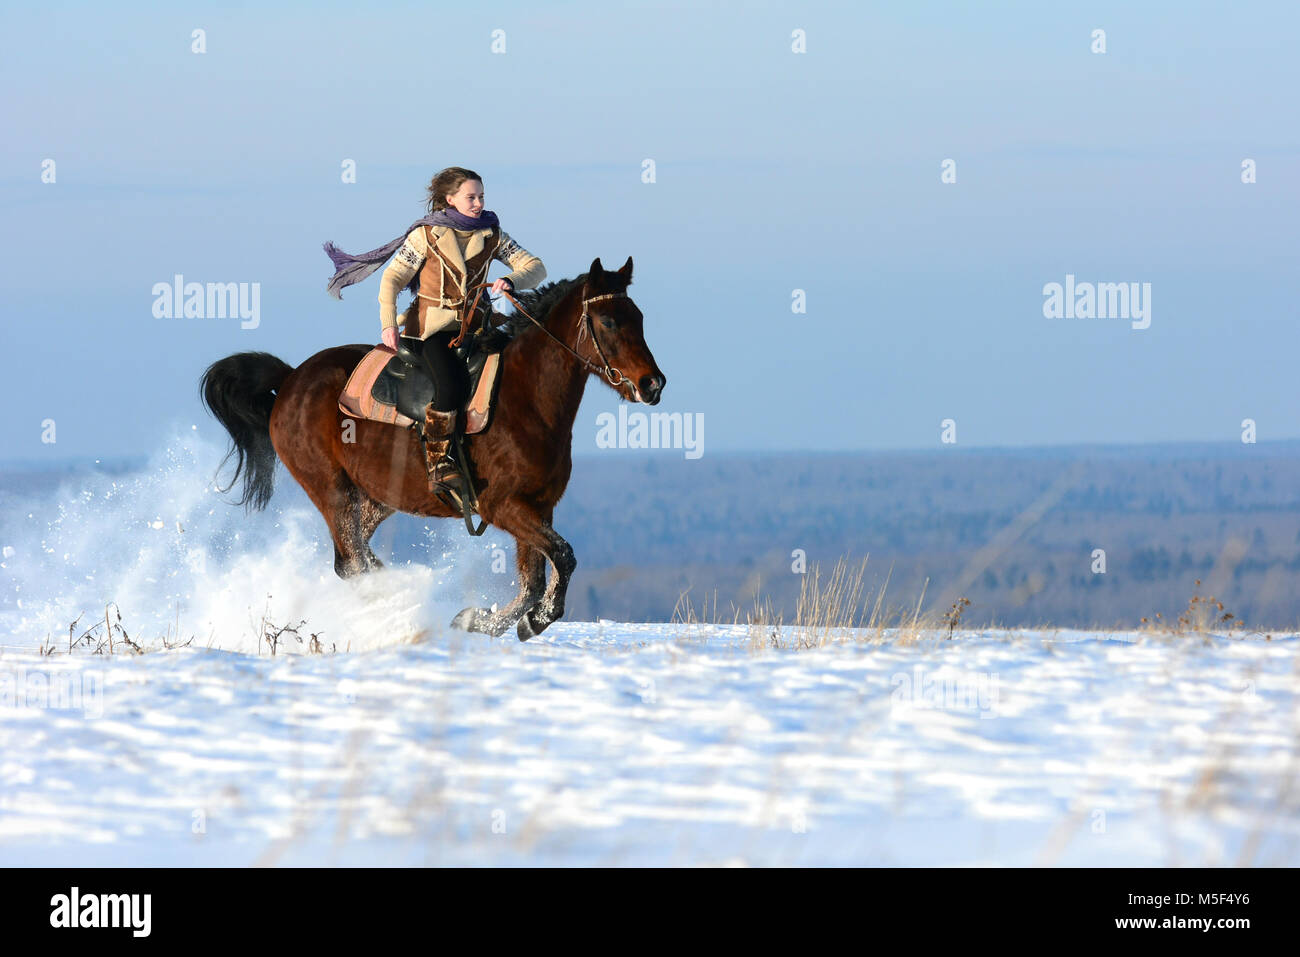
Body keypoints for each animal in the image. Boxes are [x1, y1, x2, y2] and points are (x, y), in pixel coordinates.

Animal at [199, 257, 665, 640]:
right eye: (608, 321)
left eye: (639, 317)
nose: (652, 385)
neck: (525, 398)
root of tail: (291, 378)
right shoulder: (504, 506)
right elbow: (562, 558)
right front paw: (533, 620)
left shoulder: (538, 506)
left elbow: (532, 580)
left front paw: (481, 620)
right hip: (332, 490)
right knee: (352, 562)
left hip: (376, 499)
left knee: (354, 559)